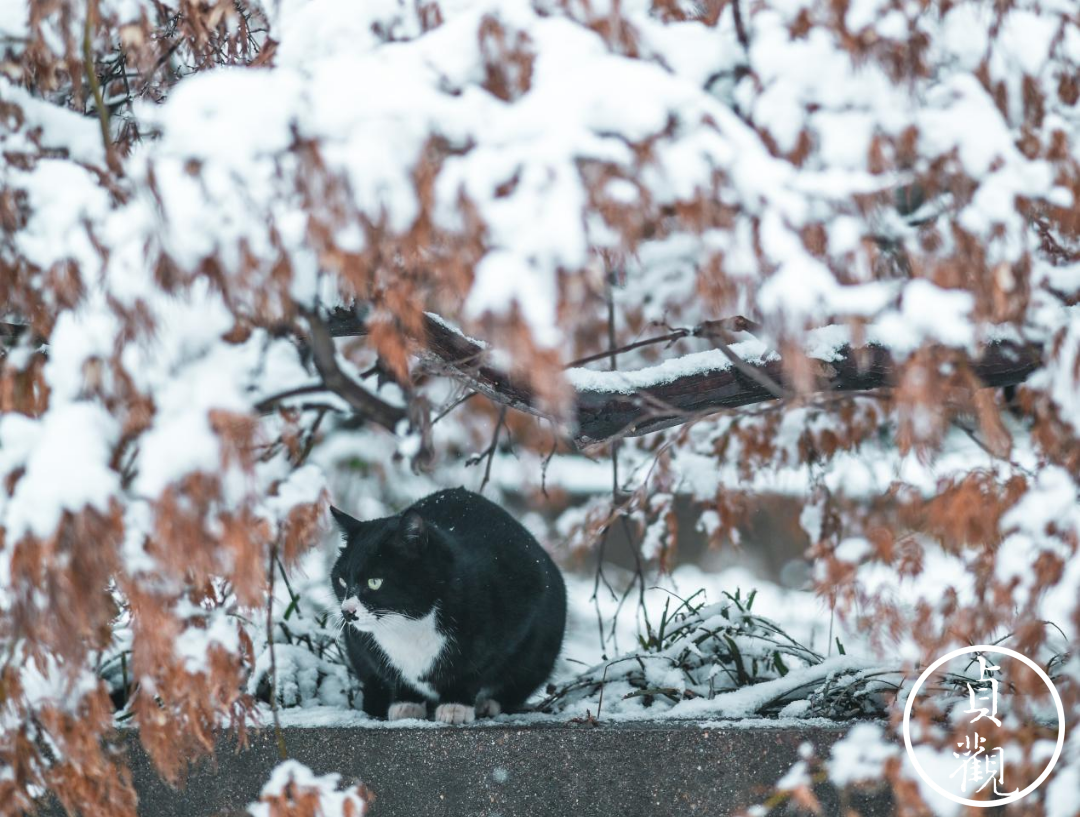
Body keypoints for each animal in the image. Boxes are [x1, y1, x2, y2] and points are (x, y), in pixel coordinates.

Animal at [330, 484, 570, 721]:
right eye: (342, 581)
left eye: (375, 582)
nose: (347, 612)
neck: (409, 624)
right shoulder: (360, 645)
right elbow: (395, 675)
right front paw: (406, 704)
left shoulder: (522, 610)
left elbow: (476, 669)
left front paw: (456, 706)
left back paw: (487, 704)